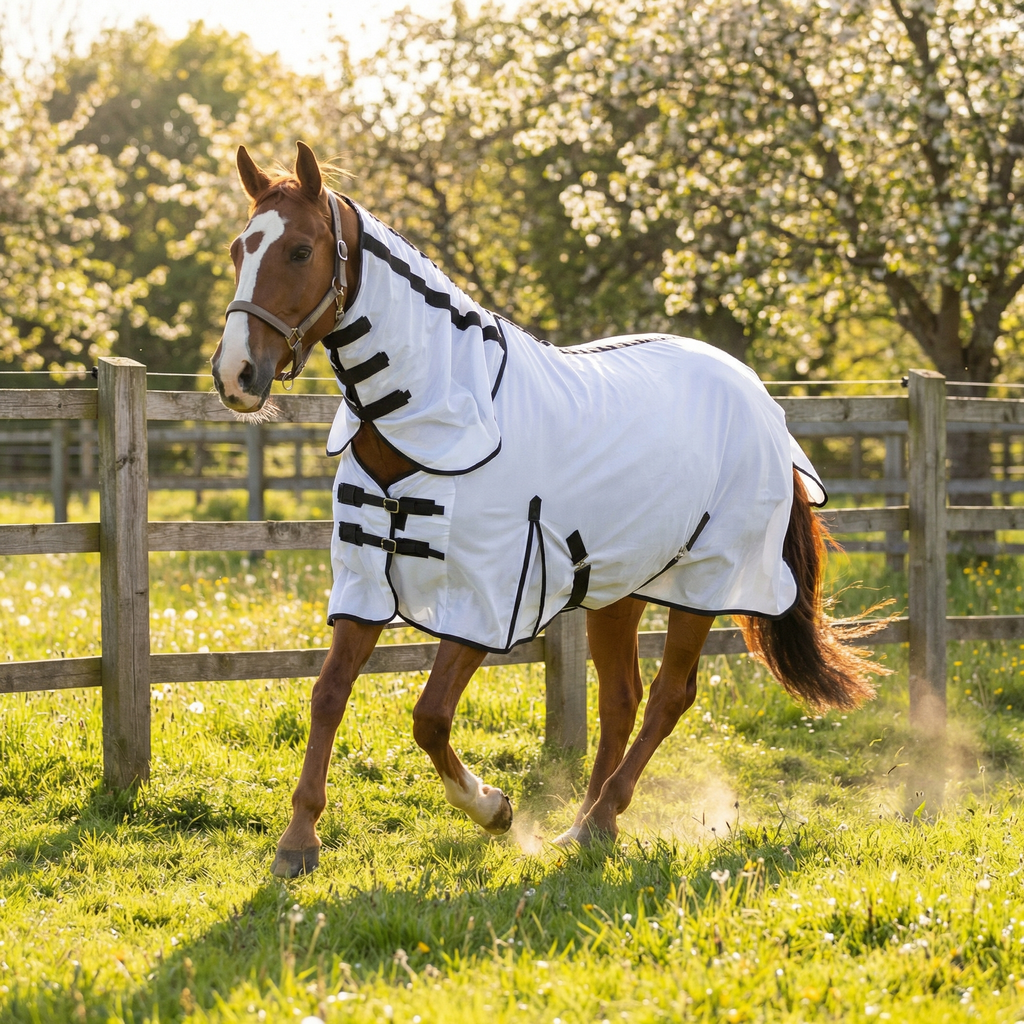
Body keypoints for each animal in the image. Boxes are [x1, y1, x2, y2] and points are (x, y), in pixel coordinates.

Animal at [211, 142, 883, 878]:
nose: (236, 375)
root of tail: (760, 398)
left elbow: (429, 717)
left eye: (301, 250)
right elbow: (328, 694)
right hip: (619, 588)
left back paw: (601, 818)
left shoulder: (485, 598)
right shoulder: (363, 582)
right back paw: (586, 828)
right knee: (622, 700)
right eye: (240, 248)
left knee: (670, 698)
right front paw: (298, 840)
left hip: (704, 586)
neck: (443, 411)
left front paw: (494, 809)